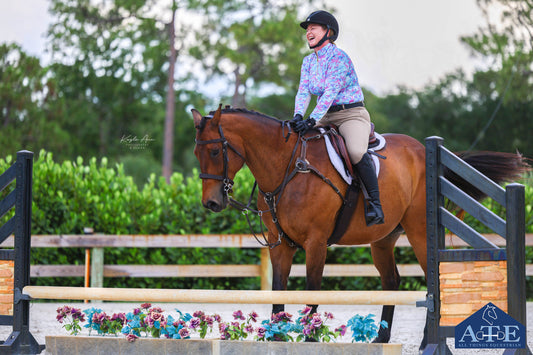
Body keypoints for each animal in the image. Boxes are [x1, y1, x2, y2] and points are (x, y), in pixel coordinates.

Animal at [192, 104, 528, 350]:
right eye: (197, 153)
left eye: (215, 151)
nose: (211, 203)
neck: (287, 168)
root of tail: (422, 150)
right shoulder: (281, 244)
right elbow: (277, 290)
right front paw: (276, 338)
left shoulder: (315, 243)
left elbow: (313, 289)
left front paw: (310, 337)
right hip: (382, 240)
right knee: (392, 280)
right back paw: (381, 338)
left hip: (420, 233)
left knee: (432, 282)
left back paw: (424, 343)